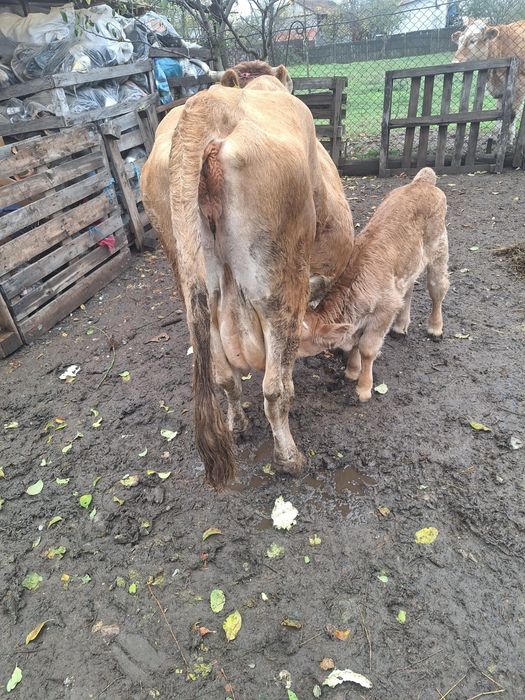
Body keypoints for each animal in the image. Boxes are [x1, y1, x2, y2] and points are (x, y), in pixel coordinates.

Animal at [141, 75, 353, 488]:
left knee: (225, 377)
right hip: (278, 290)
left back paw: (237, 426)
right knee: (275, 389)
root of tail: (208, 105)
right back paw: (289, 458)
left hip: (197, 289)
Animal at [298, 168, 449, 402]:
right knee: (408, 291)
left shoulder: (383, 312)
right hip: (408, 267)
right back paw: (400, 326)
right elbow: (355, 343)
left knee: (437, 289)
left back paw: (435, 328)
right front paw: (352, 371)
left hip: (439, 249)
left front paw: (363, 388)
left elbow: (367, 348)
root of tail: (423, 182)